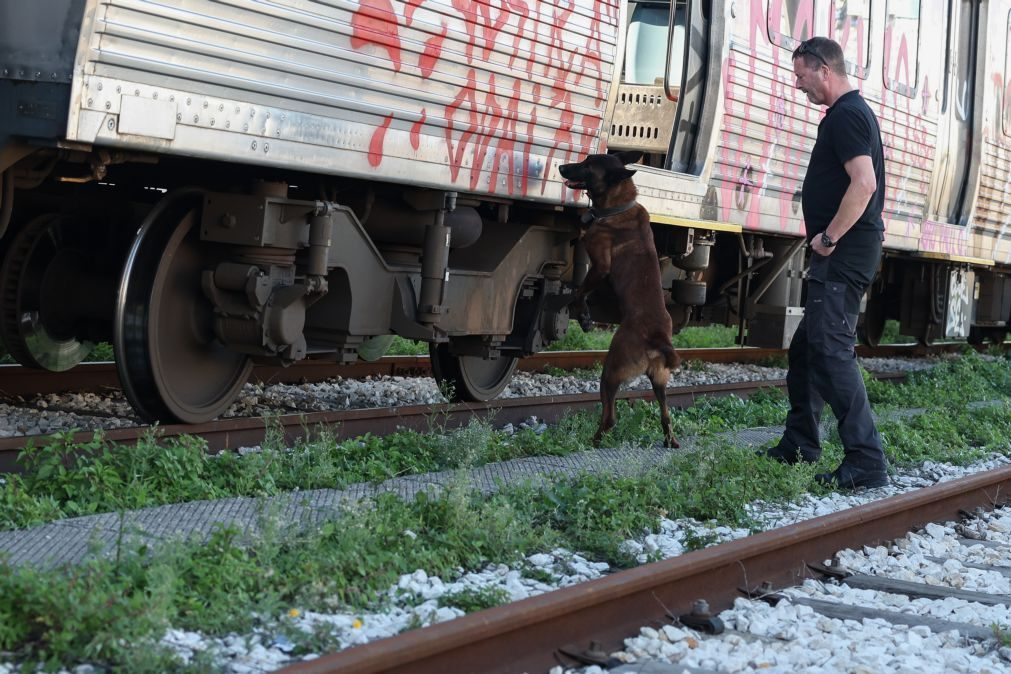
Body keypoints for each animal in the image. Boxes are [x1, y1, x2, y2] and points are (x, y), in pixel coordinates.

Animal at [558, 150, 683, 450]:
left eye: (587, 165)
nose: (561, 167)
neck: (619, 206)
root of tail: (657, 339)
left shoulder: (600, 265)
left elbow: (581, 291)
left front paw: (583, 316)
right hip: (660, 380)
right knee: (665, 413)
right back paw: (670, 439)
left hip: (611, 370)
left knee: (610, 416)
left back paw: (594, 440)